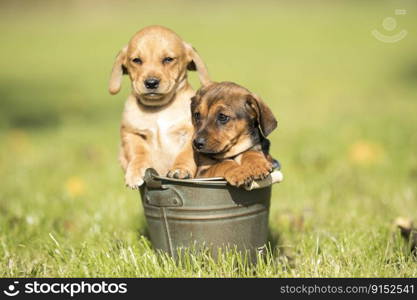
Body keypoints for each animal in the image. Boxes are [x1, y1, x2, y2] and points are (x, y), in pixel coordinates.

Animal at [109, 26, 210, 190]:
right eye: (137, 60)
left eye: (168, 59)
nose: (151, 83)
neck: (159, 109)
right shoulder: (131, 133)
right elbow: (137, 152)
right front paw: (135, 171)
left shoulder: (191, 133)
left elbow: (186, 153)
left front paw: (180, 169)